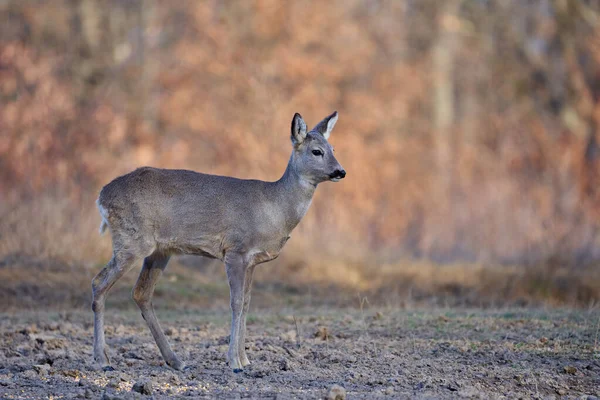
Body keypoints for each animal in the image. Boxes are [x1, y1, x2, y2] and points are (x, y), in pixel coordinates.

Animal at [94, 110, 346, 372]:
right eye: (316, 151)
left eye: (333, 148)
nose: (340, 171)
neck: (275, 208)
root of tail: (101, 196)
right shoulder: (236, 250)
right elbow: (236, 302)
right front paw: (234, 362)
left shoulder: (252, 260)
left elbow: (246, 303)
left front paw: (245, 359)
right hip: (131, 240)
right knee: (99, 283)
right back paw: (103, 360)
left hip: (159, 251)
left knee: (141, 293)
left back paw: (176, 361)